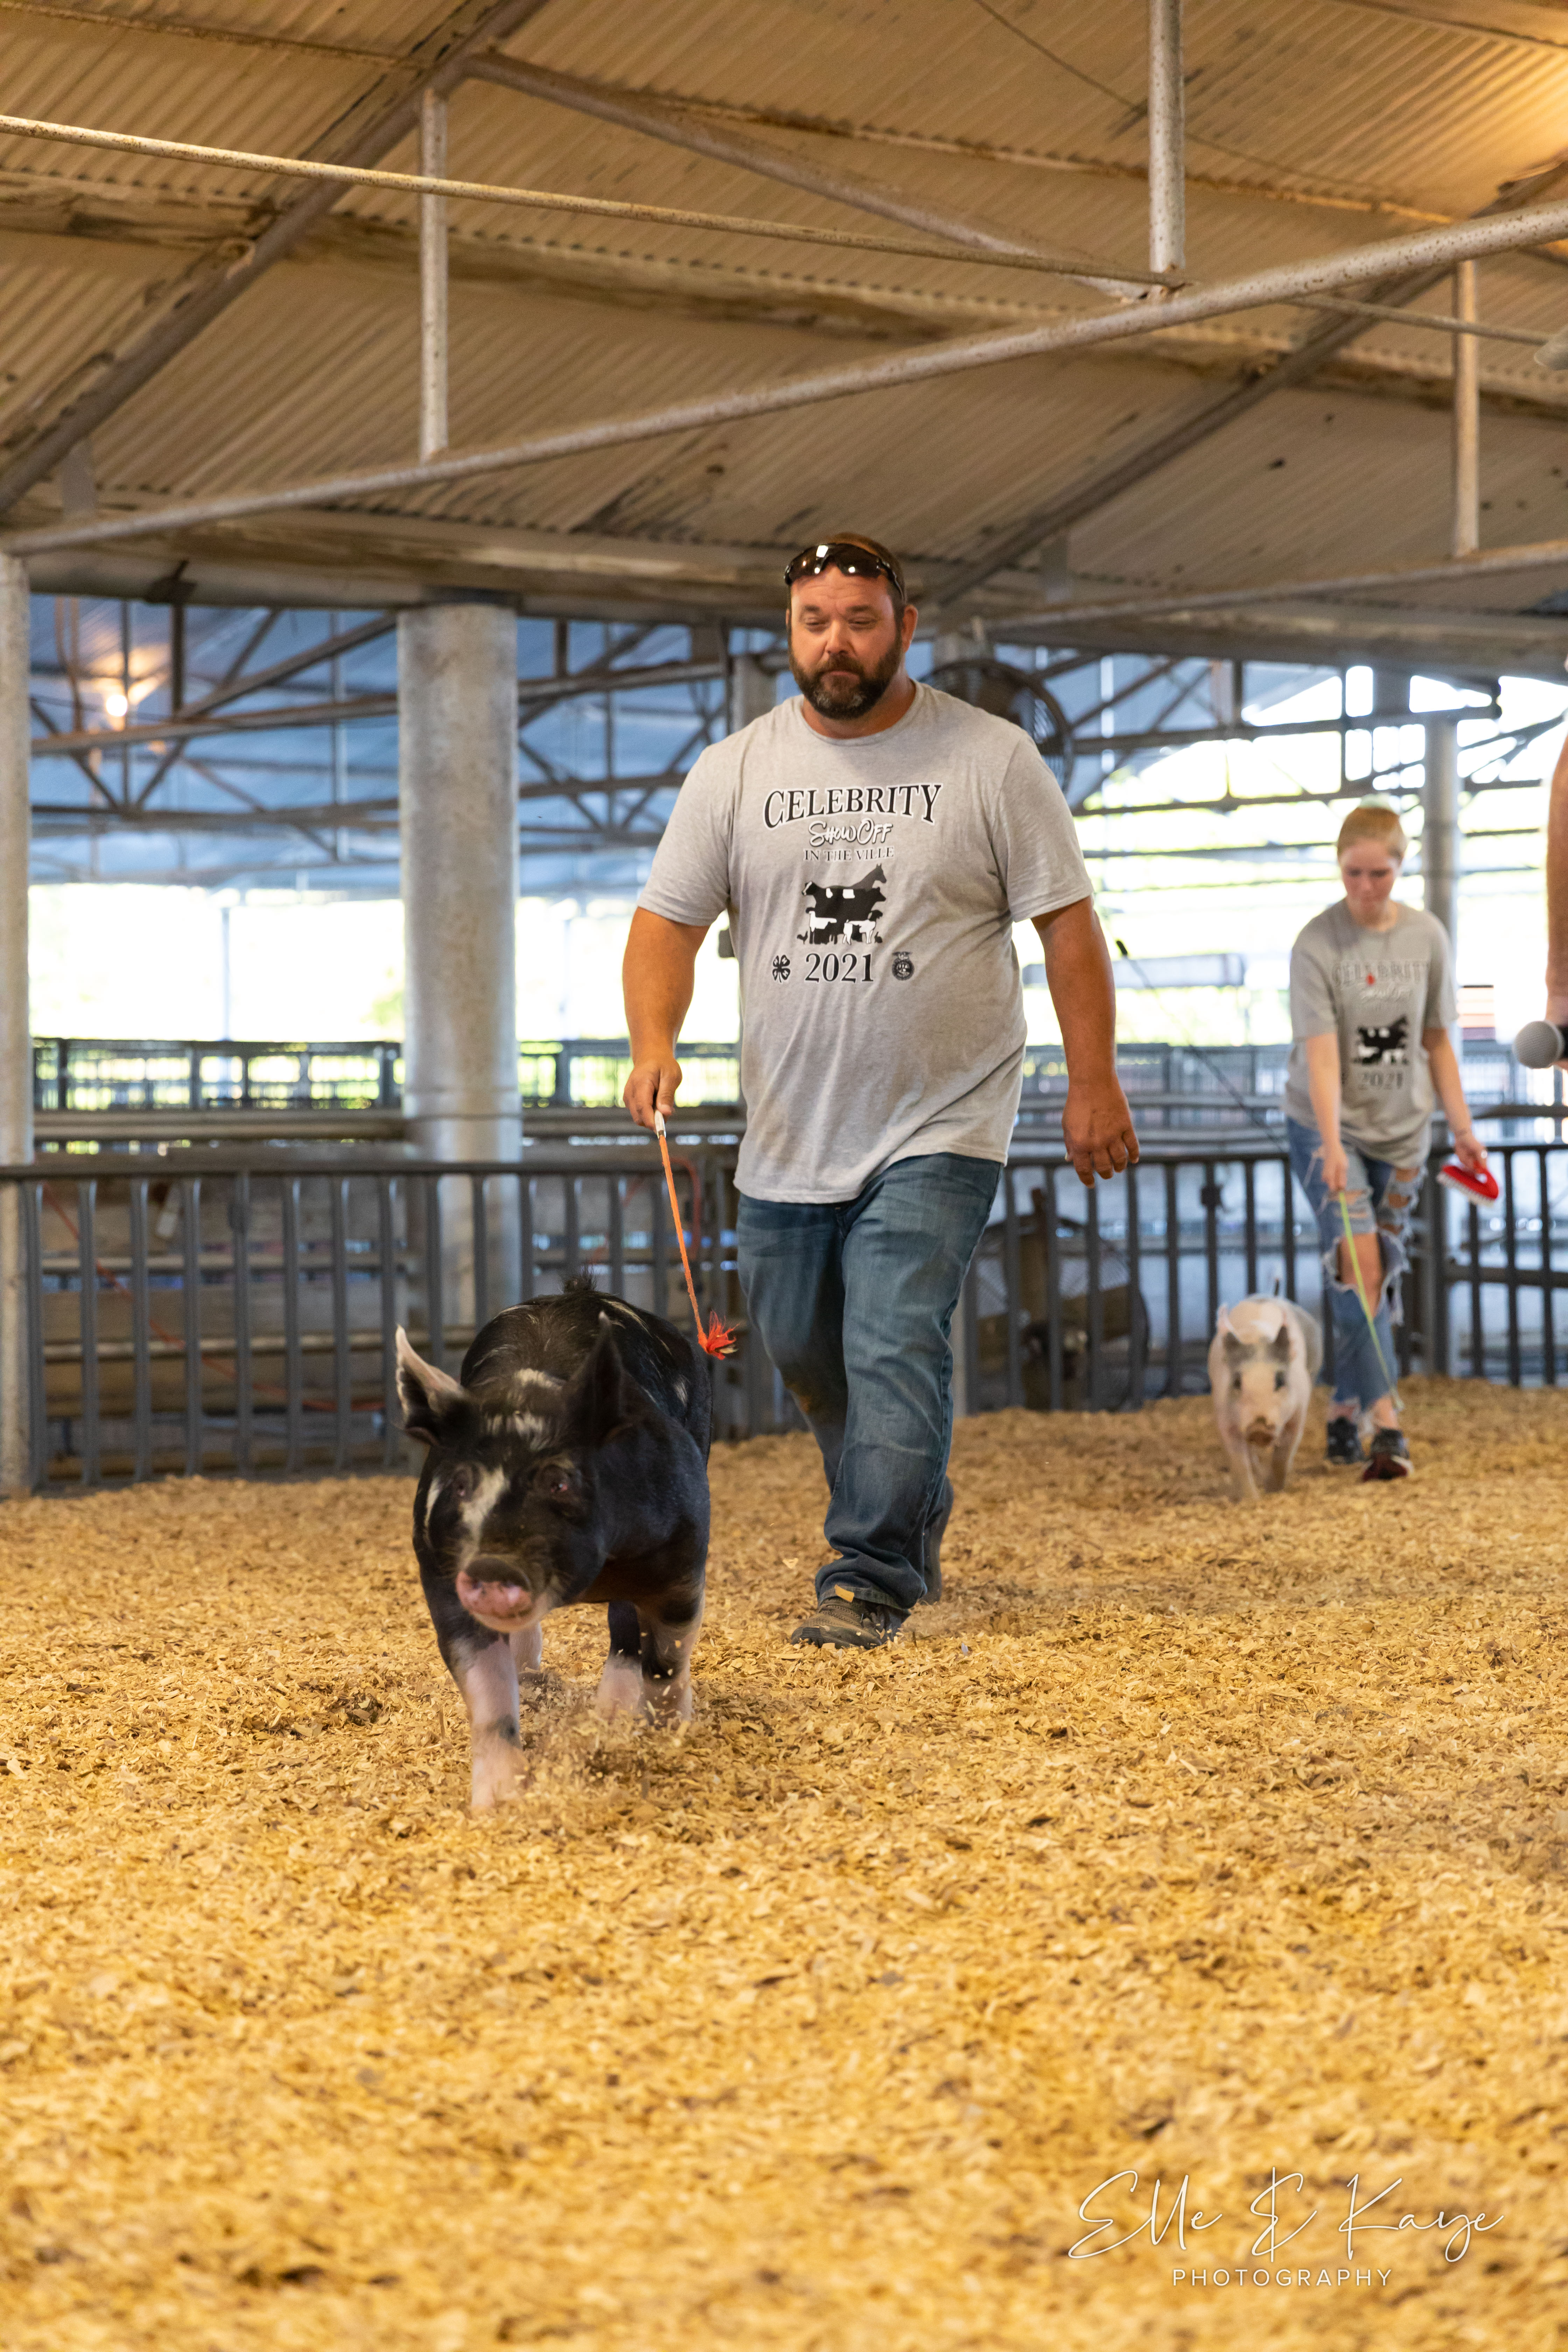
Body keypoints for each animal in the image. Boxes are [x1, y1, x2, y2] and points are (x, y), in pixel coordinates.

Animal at [395, 1276, 711, 1810]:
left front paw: (667, 1742)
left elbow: (667, 1662)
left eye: (559, 1482)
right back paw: (531, 1676)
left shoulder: (685, 1554)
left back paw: (611, 1713)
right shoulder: (440, 1576)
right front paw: (497, 1805)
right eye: (460, 1484)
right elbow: (489, 1695)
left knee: (625, 1627)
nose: (492, 1567)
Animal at [1208, 1295, 1322, 1502]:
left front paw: (1274, 1491)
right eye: (1237, 1382)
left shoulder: (1299, 1410)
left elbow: (1285, 1452)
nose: (1259, 1429)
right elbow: (1239, 1461)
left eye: (1280, 1380)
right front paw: (1252, 1500)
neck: (1257, 1339)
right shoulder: (1224, 1415)